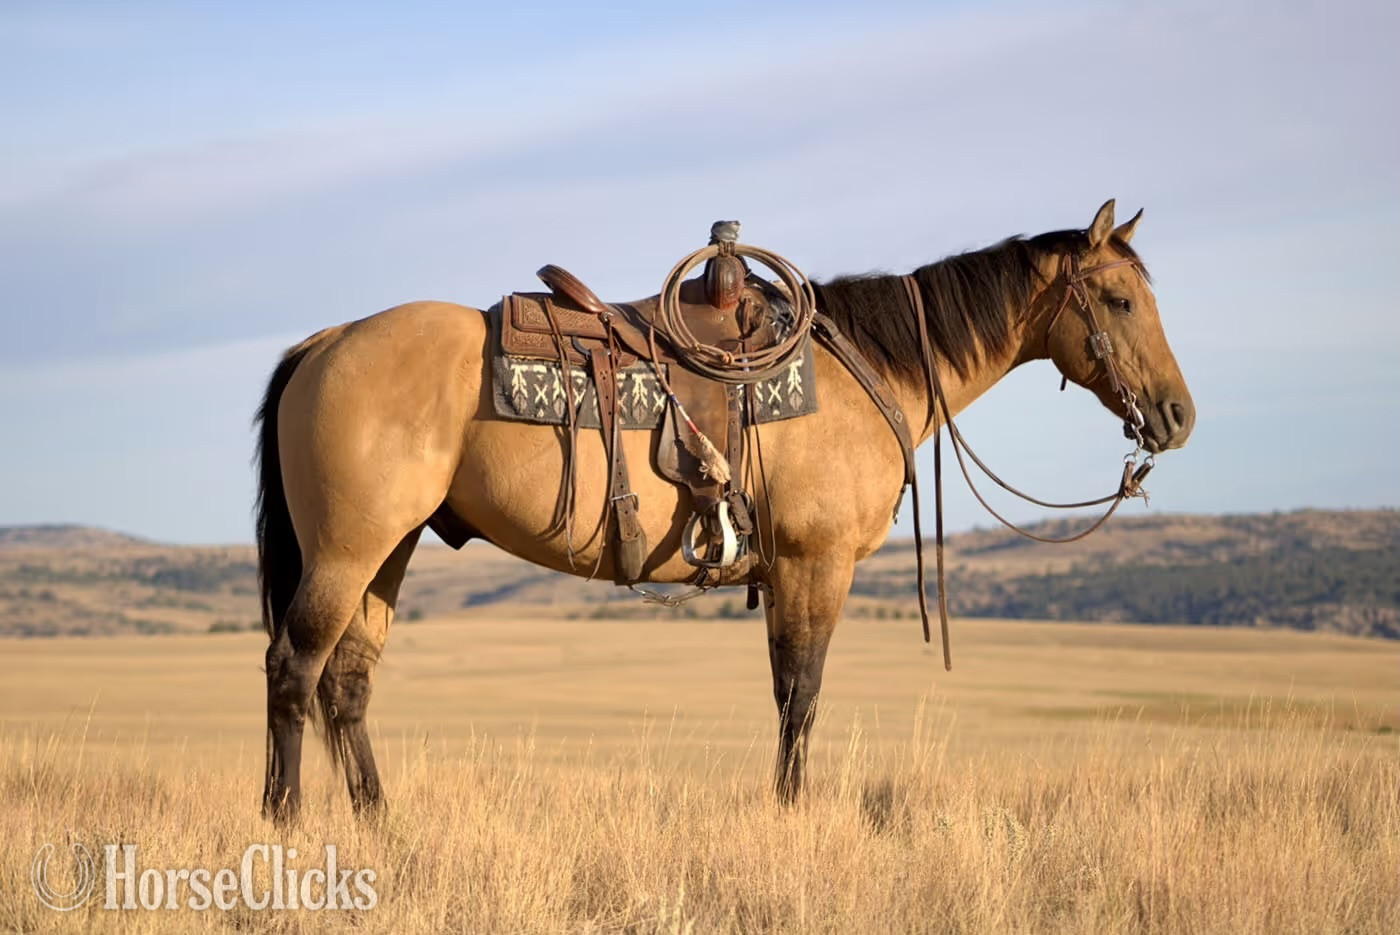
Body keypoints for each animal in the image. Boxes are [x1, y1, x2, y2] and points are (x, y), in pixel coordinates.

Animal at [255, 199, 1195, 820]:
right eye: (1119, 300)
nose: (1178, 415)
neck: (862, 371)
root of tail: (325, 343)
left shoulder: (781, 572)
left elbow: (785, 690)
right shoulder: (816, 564)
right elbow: (804, 693)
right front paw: (792, 810)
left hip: (391, 549)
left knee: (348, 679)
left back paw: (379, 819)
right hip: (347, 550)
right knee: (294, 667)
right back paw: (287, 818)